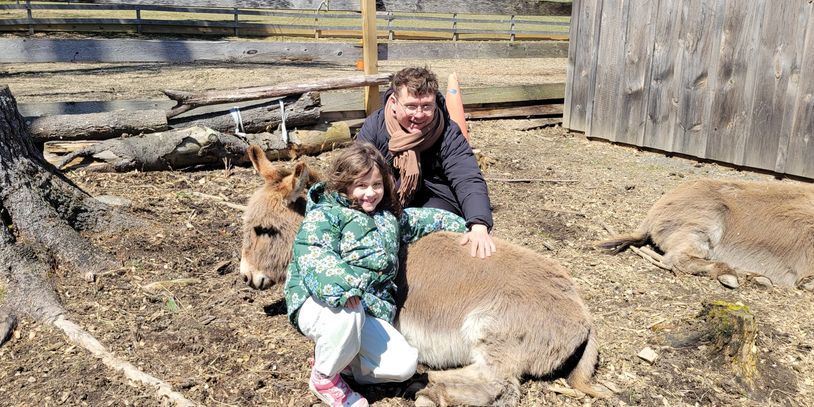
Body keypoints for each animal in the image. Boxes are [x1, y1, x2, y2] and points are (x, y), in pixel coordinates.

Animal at [239, 145, 609, 406]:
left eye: (264, 230)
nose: (247, 277)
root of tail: (585, 315)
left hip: (491, 329)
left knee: (498, 383)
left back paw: (428, 389)